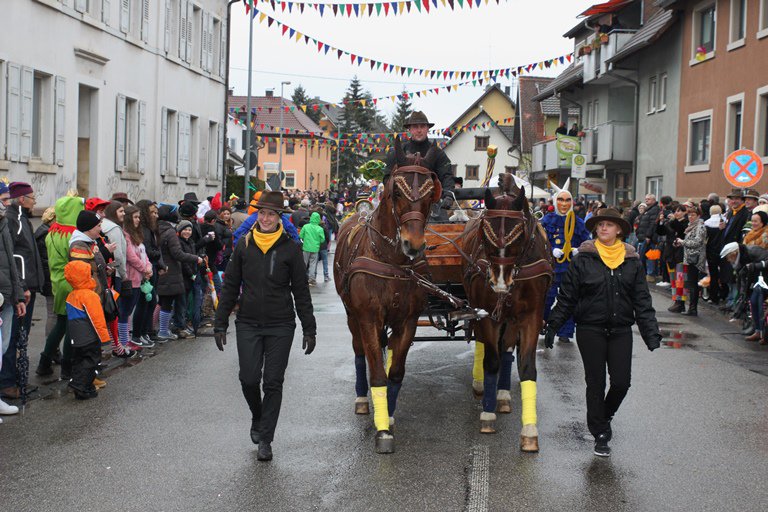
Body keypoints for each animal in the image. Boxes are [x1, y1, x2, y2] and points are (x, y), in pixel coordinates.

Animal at [332, 138, 440, 454]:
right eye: (397, 190)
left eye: (430, 192)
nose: (413, 244)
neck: (391, 259)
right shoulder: (368, 318)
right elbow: (378, 372)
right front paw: (381, 431)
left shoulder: (408, 321)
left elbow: (395, 373)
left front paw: (388, 416)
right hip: (352, 316)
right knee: (360, 353)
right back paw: (362, 399)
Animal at [462, 175, 552, 452]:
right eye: (486, 231)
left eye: (519, 234)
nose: (500, 282)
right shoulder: (487, 313)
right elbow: (490, 360)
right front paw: (487, 414)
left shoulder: (531, 316)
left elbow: (526, 367)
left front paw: (530, 431)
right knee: (487, 347)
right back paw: (482, 387)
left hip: (512, 318)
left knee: (507, 348)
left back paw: (501, 395)